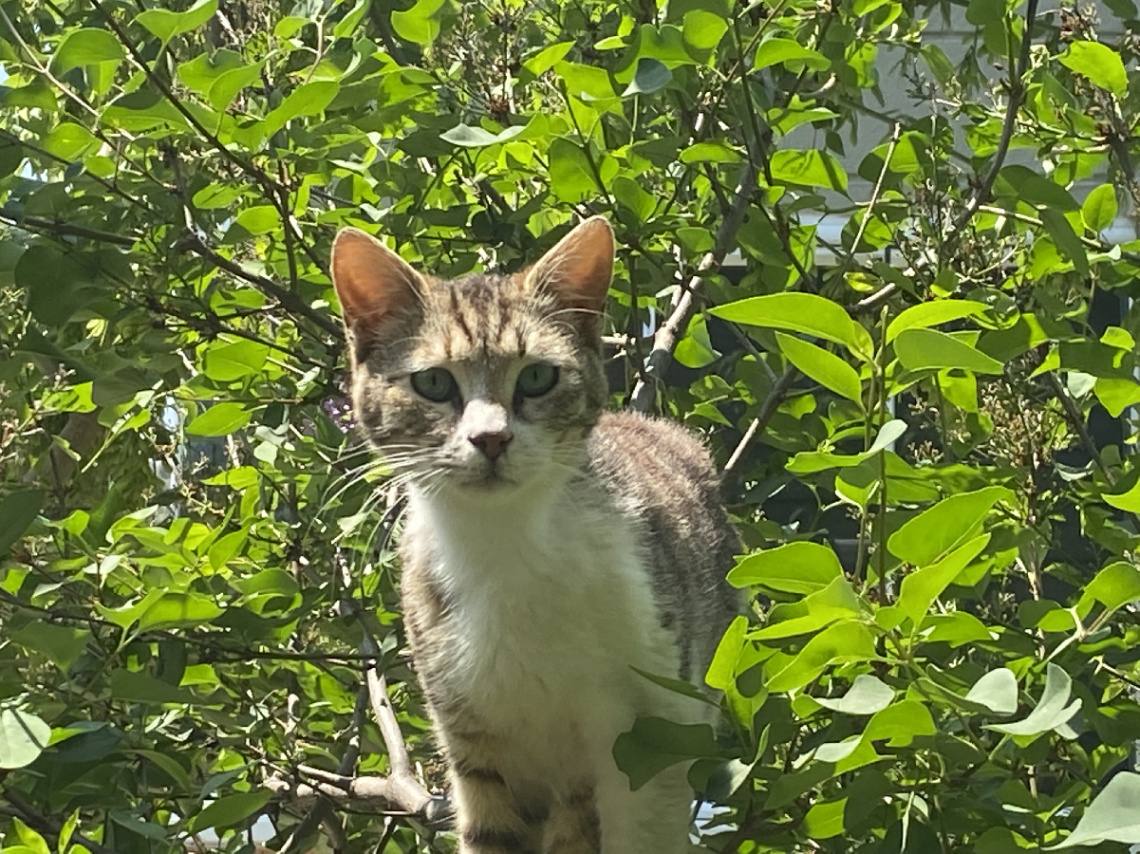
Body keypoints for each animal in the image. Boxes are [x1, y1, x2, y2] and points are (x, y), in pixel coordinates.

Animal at [330, 217, 738, 852]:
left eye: (539, 376)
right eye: (433, 383)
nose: (490, 439)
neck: (504, 551)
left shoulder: (646, 730)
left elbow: (638, 812)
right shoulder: (473, 740)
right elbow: (492, 829)